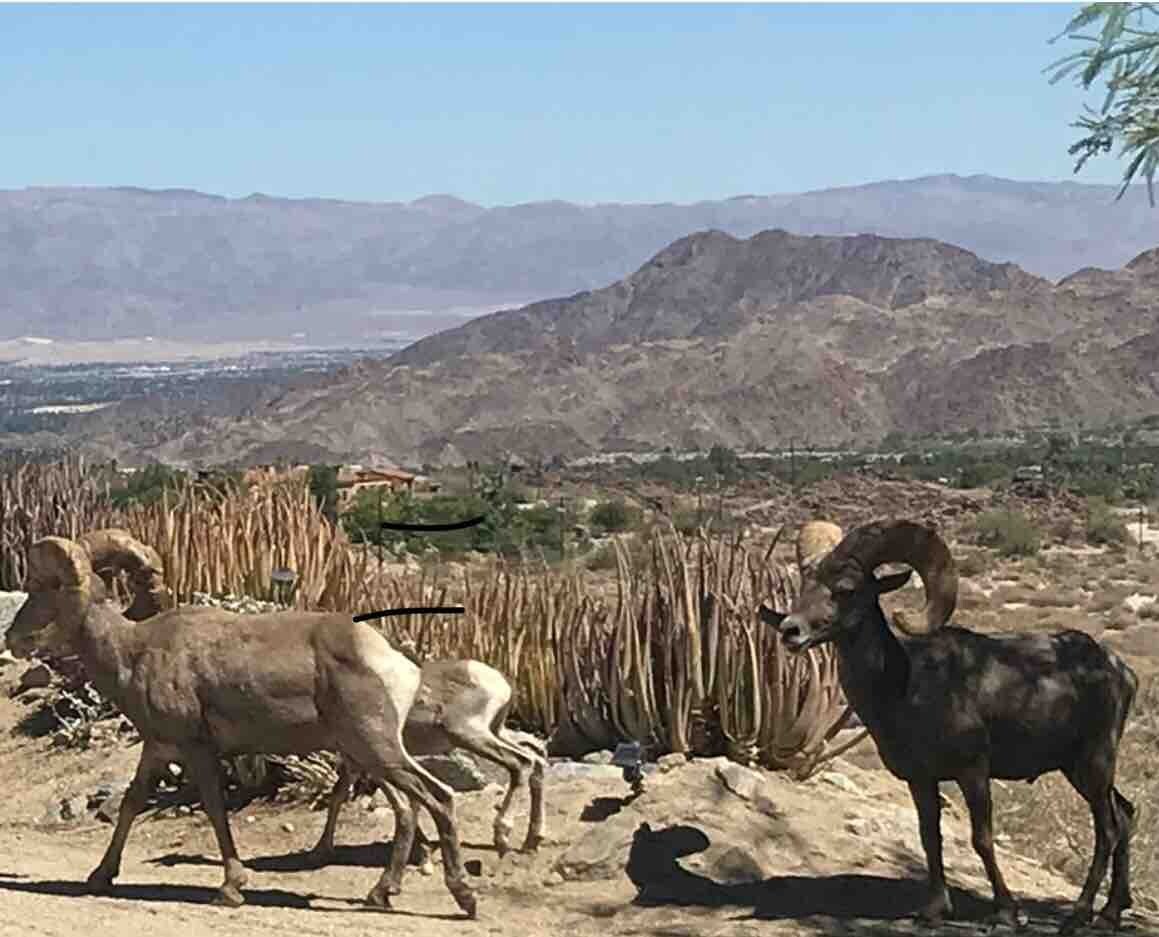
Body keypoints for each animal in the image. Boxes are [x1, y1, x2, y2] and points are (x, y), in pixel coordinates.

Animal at [3, 533, 475, 913]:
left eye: (46, 588)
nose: (13, 637)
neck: (134, 652)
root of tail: (396, 663)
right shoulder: (158, 749)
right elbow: (132, 804)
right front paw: (100, 877)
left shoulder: (197, 750)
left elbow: (214, 808)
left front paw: (231, 888)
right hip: (368, 757)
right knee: (410, 809)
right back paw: (381, 894)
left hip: (378, 750)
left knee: (439, 797)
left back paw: (463, 897)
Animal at [755, 519, 1135, 936]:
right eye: (804, 586)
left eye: (846, 589)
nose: (791, 631)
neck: (906, 686)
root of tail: (1120, 672)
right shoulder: (920, 780)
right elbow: (930, 838)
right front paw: (935, 910)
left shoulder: (973, 774)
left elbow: (981, 839)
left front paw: (1007, 913)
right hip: (1080, 770)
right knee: (1126, 816)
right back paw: (1111, 913)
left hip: (1093, 766)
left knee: (1108, 830)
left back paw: (1079, 915)